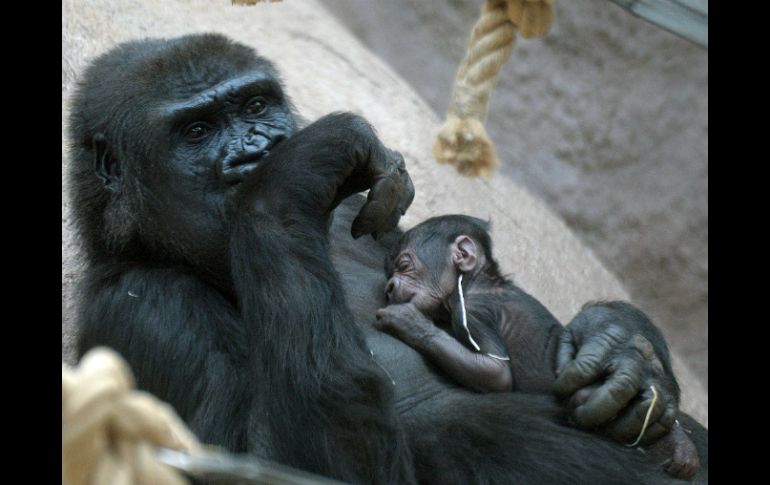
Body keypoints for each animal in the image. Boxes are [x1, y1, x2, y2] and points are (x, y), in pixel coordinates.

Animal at [376, 216, 700, 480]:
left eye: (404, 265)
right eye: (393, 269)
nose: (390, 286)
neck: (476, 282)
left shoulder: (472, 312)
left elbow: (495, 374)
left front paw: (408, 322)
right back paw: (680, 443)